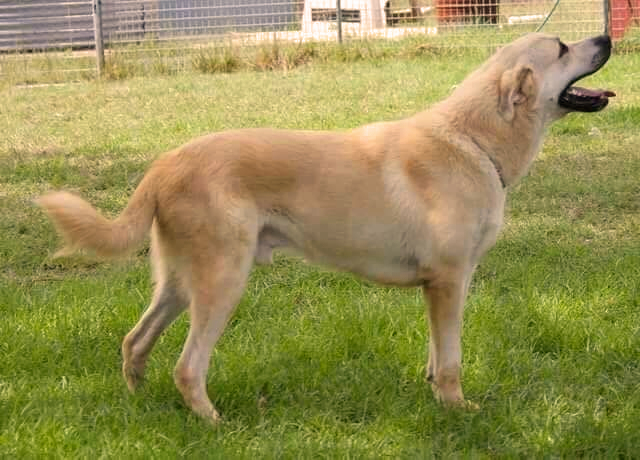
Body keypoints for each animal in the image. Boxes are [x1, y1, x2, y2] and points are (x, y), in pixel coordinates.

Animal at [36, 34, 616, 422]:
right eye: (563, 48)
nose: (607, 36)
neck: (473, 140)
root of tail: (165, 163)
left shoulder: (436, 287)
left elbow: (436, 355)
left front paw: (434, 394)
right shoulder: (450, 282)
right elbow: (451, 359)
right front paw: (455, 408)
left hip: (181, 282)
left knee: (135, 341)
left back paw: (137, 402)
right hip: (223, 282)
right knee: (187, 366)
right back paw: (212, 422)